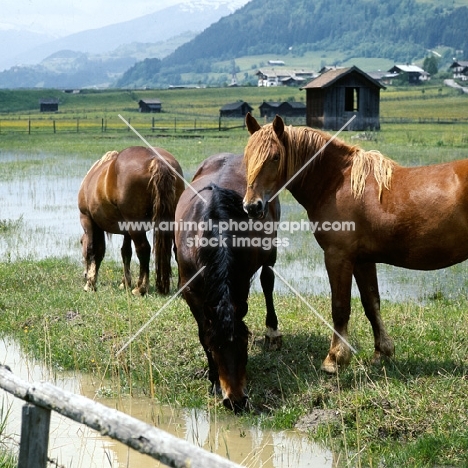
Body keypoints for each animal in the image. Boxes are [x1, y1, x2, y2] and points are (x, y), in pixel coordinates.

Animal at [78, 144, 185, 294]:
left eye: (81, 242)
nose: (84, 274)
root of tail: (156, 159)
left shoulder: (88, 219)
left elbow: (94, 249)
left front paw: (90, 283)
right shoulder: (126, 231)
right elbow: (126, 252)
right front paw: (125, 283)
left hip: (135, 226)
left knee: (143, 249)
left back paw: (140, 288)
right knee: (176, 249)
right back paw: (181, 287)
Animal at [174, 152, 280, 412]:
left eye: (243, 345)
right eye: (216, 348)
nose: (236, 401)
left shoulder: (240, 285)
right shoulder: (192, 293)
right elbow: (203, 332)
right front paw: (213, 379)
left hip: (271, 250)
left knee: (268, 281)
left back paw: (272, 331)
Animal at [243, 113, 468, 372]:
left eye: (275, 157)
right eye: (247, 156)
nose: (252, 206)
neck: (338, 183)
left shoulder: (338, 256)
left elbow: (340, 307)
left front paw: (334, 358)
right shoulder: (362, 260)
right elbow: (372, 304)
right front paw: (382, 352)